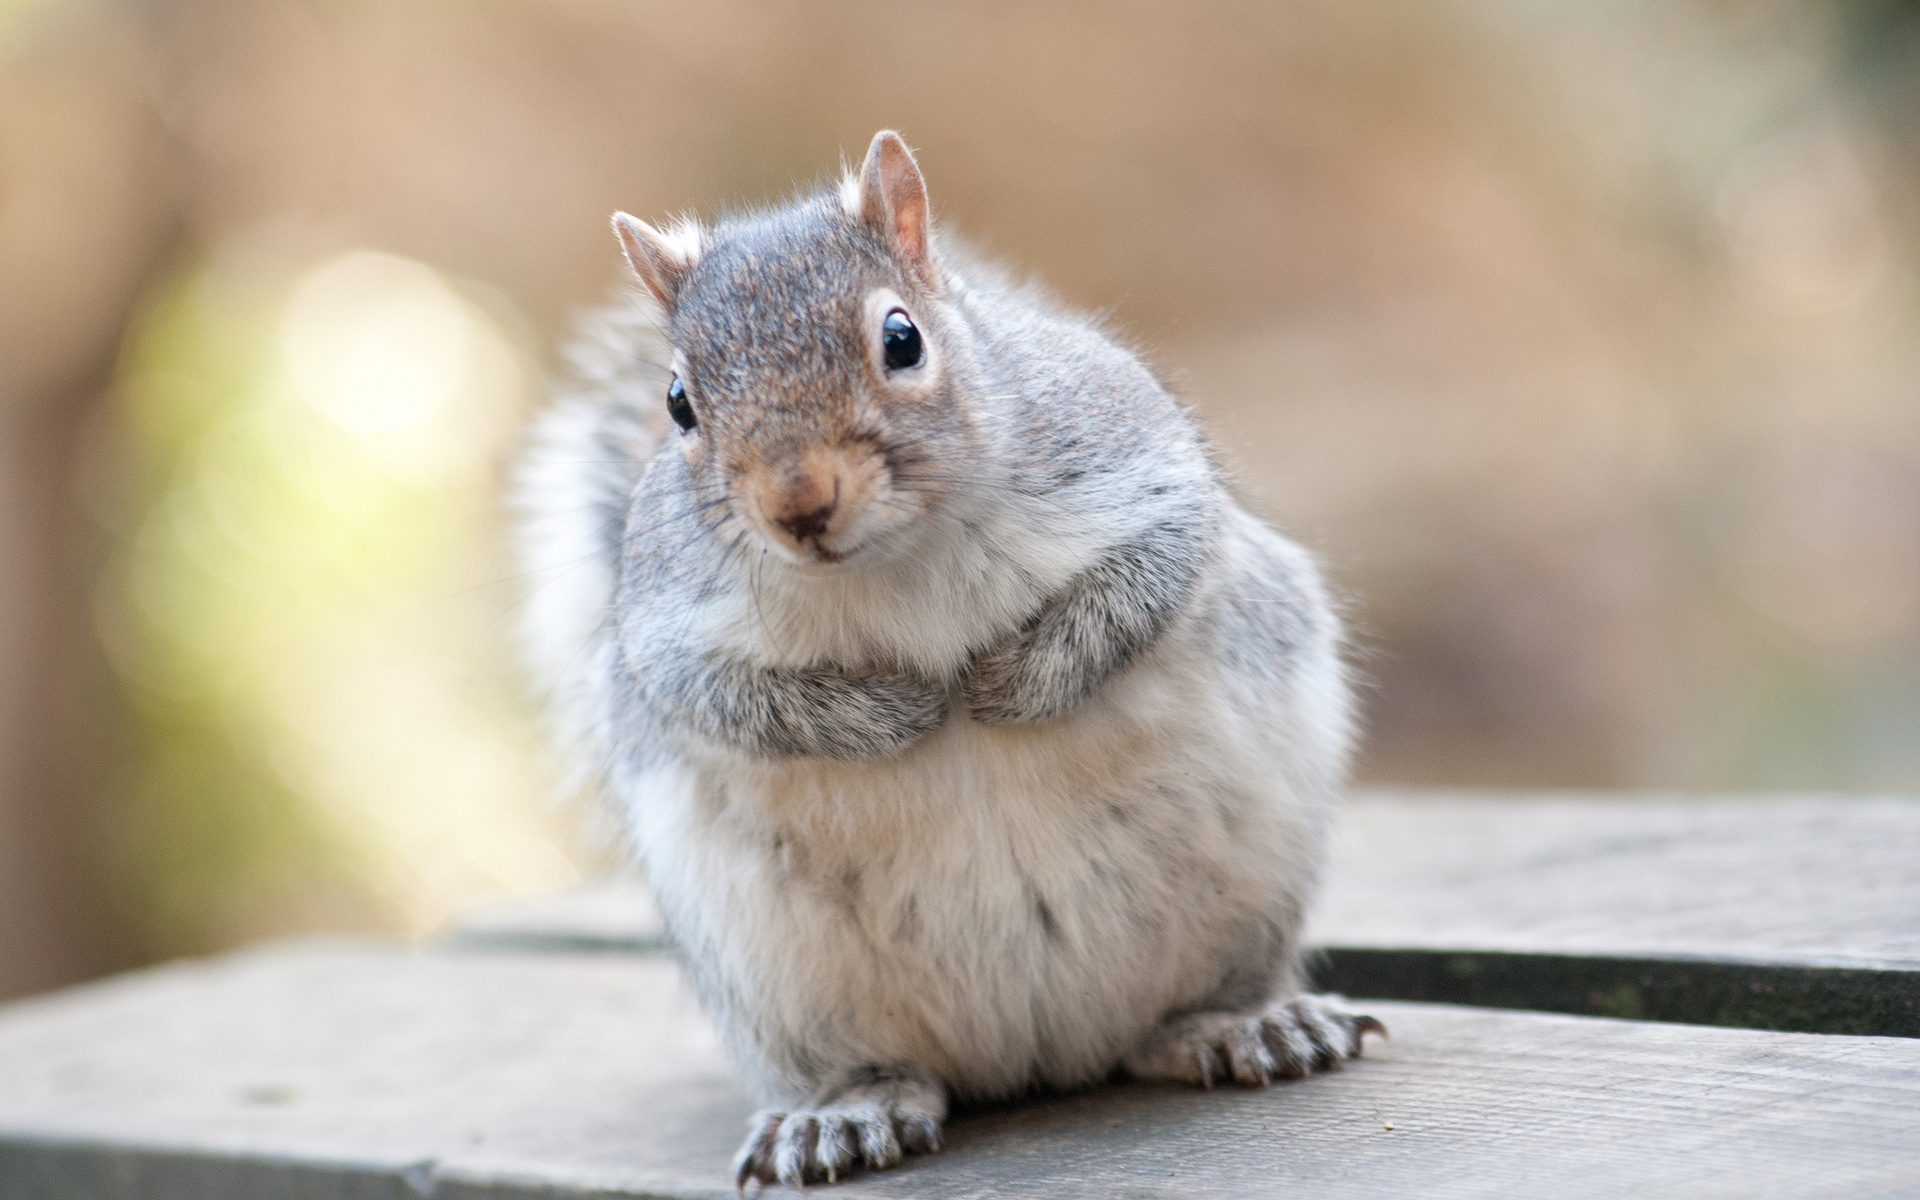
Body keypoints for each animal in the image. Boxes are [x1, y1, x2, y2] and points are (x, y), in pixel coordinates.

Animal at [510, 133, 1382, 1190]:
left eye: (902, 339)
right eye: (678, 403)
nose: (798, 504)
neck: (894, 558)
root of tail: (1044, 1051)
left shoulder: (1140, 463)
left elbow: (1149, 572)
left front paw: (1010, 684)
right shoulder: (661, 623)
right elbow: (721, 696)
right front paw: (894, 714)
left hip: (1252, 886)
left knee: (1185, 1009)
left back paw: (1242, 1024)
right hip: (775, 979)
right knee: (875, 1067)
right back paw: (843, 1113)